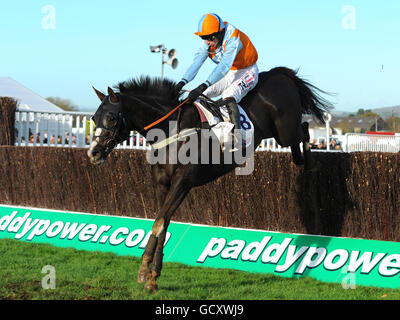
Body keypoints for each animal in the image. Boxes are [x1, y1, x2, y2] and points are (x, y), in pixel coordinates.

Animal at [88, 67, 334, 292]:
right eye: (93, 118)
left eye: (111, 117)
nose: (93, 153)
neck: (171, 131)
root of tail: (278, 73)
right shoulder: (162, 184)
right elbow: (163, 223)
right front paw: (151, 275)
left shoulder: (183, 182)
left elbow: (159, 223)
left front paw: (146, 272)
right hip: (282, 134)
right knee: (299, 144)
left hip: (284, 131)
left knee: (304, 130)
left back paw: (312, 163)